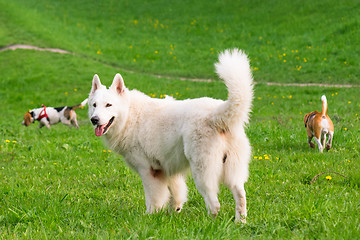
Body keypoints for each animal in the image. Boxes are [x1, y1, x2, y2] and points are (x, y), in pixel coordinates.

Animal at [88, 48, 253, 223]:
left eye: (108, 105)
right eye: (94, 105)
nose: (94, 120)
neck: (130, 116)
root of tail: (217, 114)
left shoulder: (149, 171)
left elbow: (153, 198)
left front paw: (149, 216)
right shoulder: (169, 170)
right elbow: (176, 194)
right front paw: (174, 212)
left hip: (202, 172)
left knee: (214, 204)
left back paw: (210, 223)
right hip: (232, 171)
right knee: (240, 195)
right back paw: (240, 222)